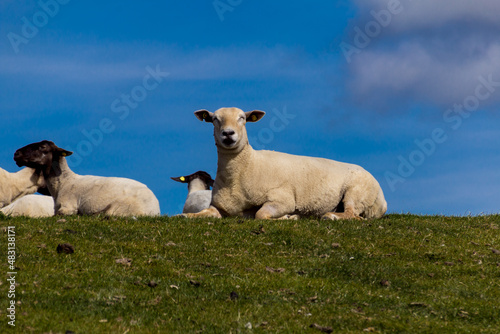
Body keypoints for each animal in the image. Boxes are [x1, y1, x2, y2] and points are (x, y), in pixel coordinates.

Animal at [12, 140, 160, 217]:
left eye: (43, 147)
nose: (16, 153)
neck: (63, 183)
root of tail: (155, 207)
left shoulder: (68, 207)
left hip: (120, 207)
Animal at [182, 107, 388, 220]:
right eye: (214, 119)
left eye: (242, 118)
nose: (228, 134)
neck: (247, 166)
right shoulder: (218, 207)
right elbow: (197, 214)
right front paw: (186, 215)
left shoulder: (283, 199)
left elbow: (261, 215)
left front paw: (289, 217)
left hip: (357, 193)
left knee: (353, 215)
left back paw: (330, 216)